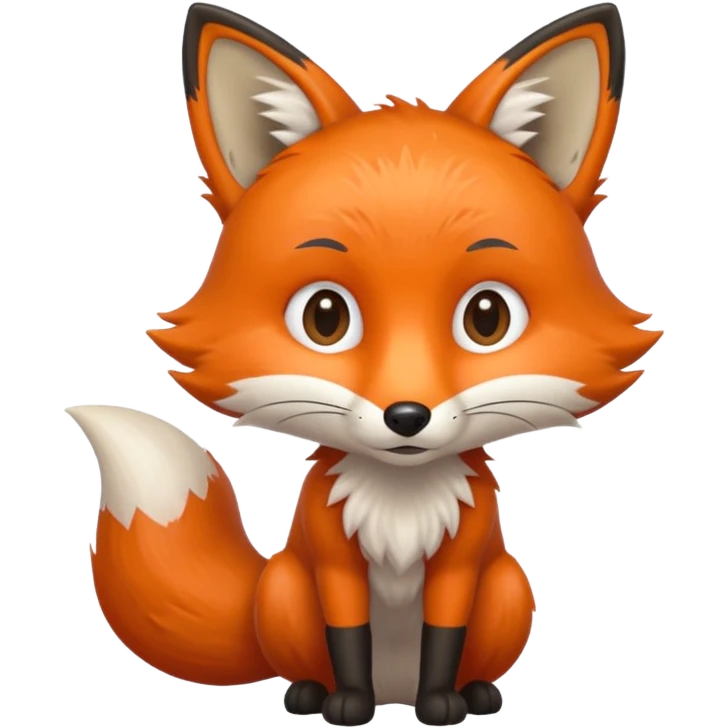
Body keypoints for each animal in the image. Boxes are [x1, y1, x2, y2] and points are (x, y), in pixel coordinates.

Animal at [67, 2, 659, 726]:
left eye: (487, 317)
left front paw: (442, 702)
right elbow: (347, 635)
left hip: (510, 588)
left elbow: (444, 635)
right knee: (304, 655)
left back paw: (475, 693)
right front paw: (348, 701)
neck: (399, 504)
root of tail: (393, 689)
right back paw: (310, 693)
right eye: (326, 318)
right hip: (283, 588)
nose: (407, 415)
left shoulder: (461, 565)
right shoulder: (332, 563)